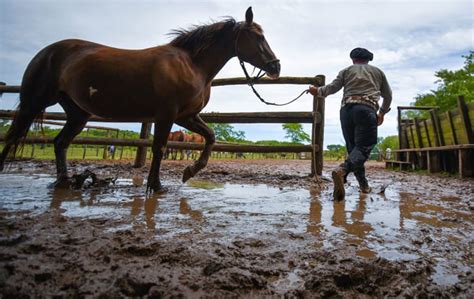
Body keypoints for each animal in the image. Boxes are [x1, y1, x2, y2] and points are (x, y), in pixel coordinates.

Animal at [0, 8, 280, 193]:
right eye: (258, 37)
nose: (275, 67)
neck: (190, 64)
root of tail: (46, 52)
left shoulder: (185, 116)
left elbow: (210, 137)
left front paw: (189, 172)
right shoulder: (167, 115)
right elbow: (160, 148)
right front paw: (156, 186)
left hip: (78, 113)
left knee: (60, 143)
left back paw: (64, 181)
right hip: (34, 102)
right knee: (13, 137)